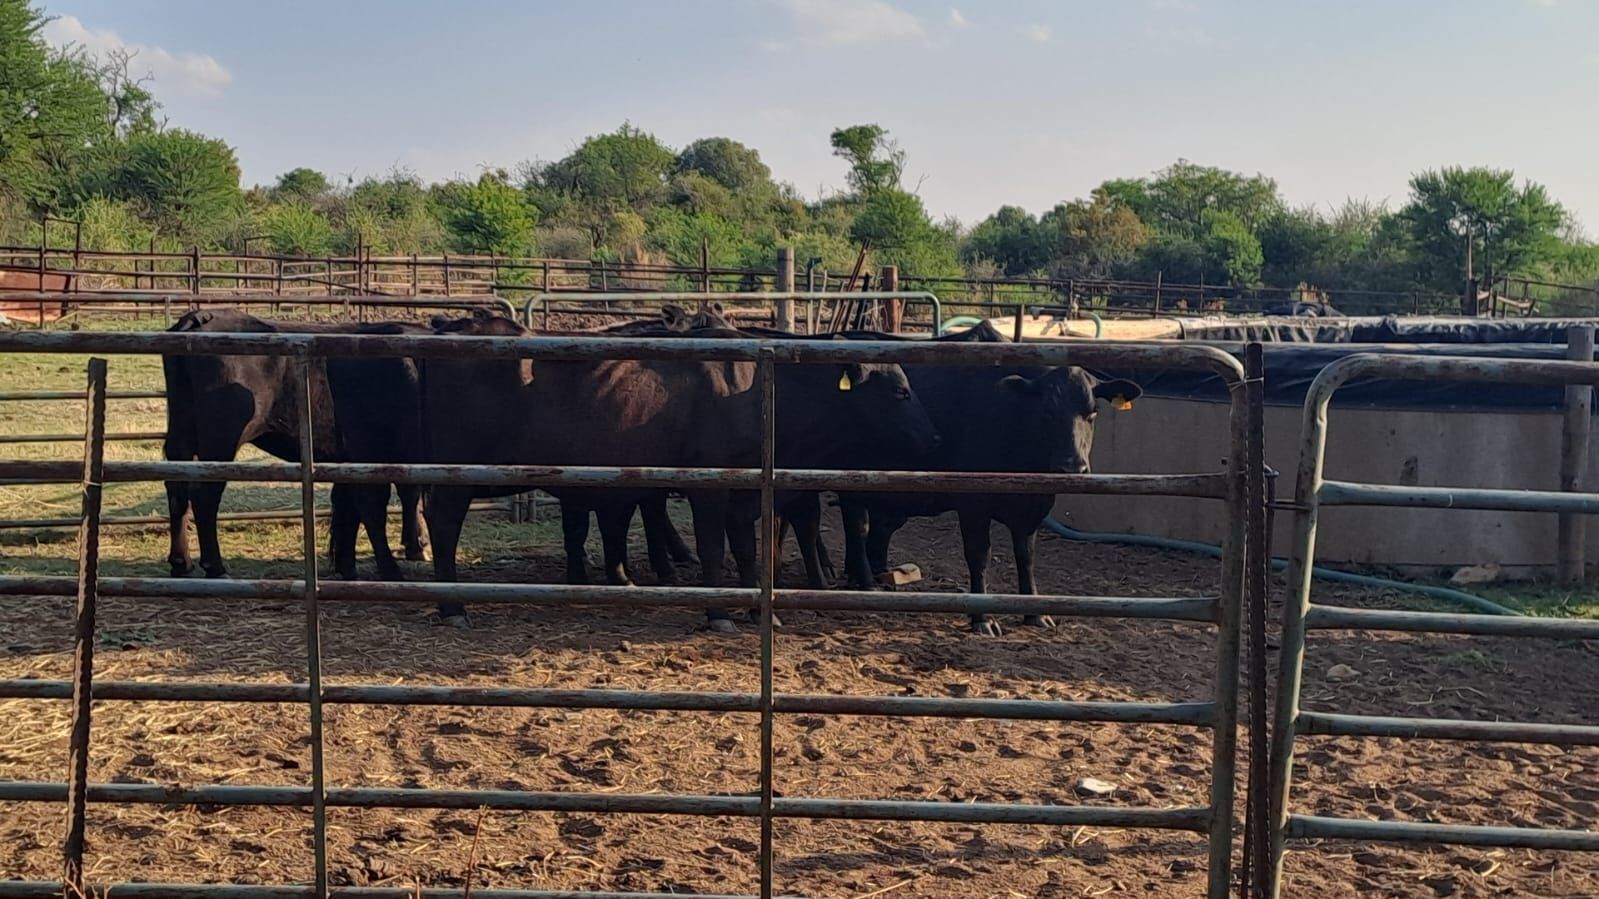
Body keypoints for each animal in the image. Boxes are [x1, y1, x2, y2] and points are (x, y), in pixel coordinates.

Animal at [162, 310, 429, 583]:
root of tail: (200, 318)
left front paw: (348, 566)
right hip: (220, 442)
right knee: (204, 495)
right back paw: (215, 567)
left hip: (181, 435)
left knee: (176, 489)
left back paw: (181, 562)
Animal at [418, 309, 938, 631]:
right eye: (899, 391)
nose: (932, 437)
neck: (761, 392)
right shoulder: (709, 488)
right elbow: (713, 550)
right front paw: (719, 614)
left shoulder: (750, 496)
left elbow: (748, 552)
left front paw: (759, 612)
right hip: (454, 474)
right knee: (443, 526)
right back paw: (452, 607)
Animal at [836, 322, 1143, 636]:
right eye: (1046, 412)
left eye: (1092, 413)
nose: (1072, 467)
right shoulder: (973, 504)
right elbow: (979, 555)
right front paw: (982, 617)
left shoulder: (1035, 506)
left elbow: (1026, 556)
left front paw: (1035, 613)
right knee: (857, 527)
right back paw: (865, 582)